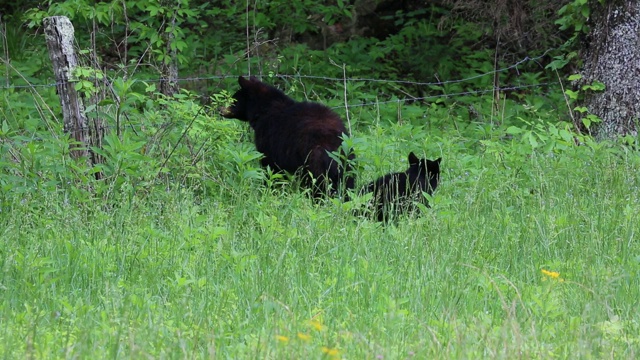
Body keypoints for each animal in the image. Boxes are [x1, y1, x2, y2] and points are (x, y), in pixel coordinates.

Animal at [220, 76, 356, 198]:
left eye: (233, 99)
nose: (220, 109)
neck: (264, 110)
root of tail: (335, 139)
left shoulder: (270, 141)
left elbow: (270, 168)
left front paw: (267, 191)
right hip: (347, 161)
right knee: (346, 184)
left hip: (314, 160)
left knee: (318, 184)